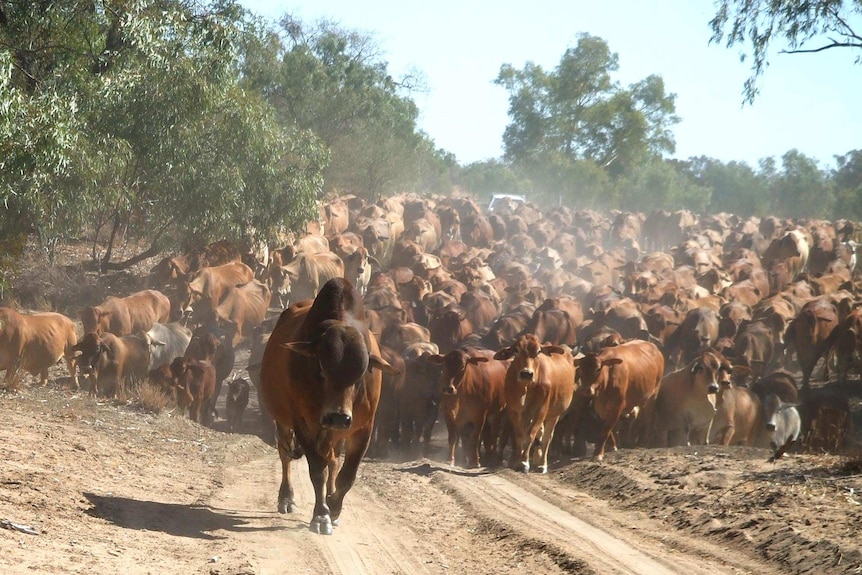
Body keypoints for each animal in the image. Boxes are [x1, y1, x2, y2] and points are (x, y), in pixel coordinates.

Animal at [262, 280, 400, 536]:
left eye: (361, 374)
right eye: (320, 370)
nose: (337, 417)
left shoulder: (363, 428)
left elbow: (347, 475)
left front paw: (333, 507)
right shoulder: (301, 423)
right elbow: (318, 469)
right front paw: (321, 515)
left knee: (333, 460)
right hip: (283, 422)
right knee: (285, 453)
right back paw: (286, 498)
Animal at [496, 332, 576, 472]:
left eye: (538, 351)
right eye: (516, 350)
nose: (526, 373)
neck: (527, 387)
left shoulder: (540, 411)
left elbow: (530, 435)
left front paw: (524, 462)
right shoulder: (515, 411)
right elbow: (520, 436)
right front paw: (517, 462)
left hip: (554, 414)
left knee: (547, 438)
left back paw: (542, 464)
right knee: (540, 434)